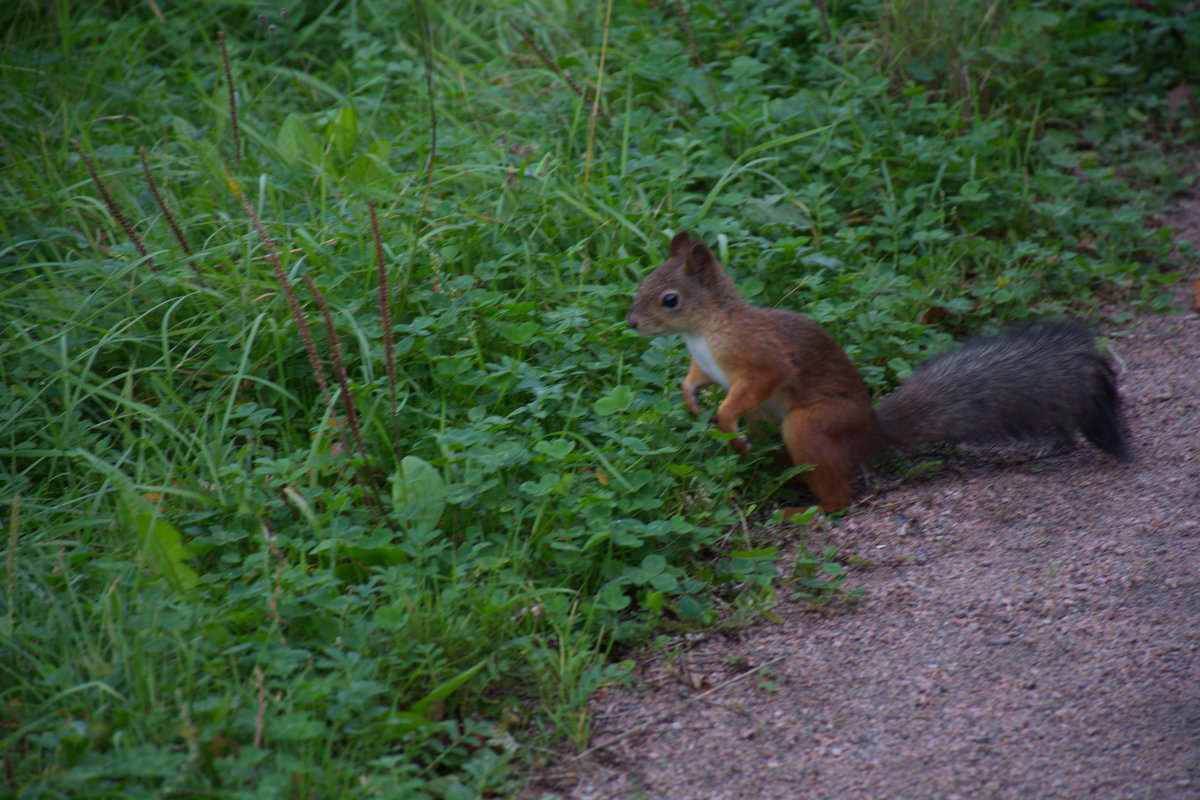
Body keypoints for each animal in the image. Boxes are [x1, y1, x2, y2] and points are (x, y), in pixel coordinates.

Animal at [624, 227, 1128, 513]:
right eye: (644, 282)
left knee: (837, 495)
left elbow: (758, 382)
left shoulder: (760, 358)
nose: (631, 323)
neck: (705, 330)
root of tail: (871, 432)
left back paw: (809, 508)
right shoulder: (708, 366)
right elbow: (696, 380)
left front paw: (725, 420)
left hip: (812, 426)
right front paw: (691, 400)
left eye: (669, 299)